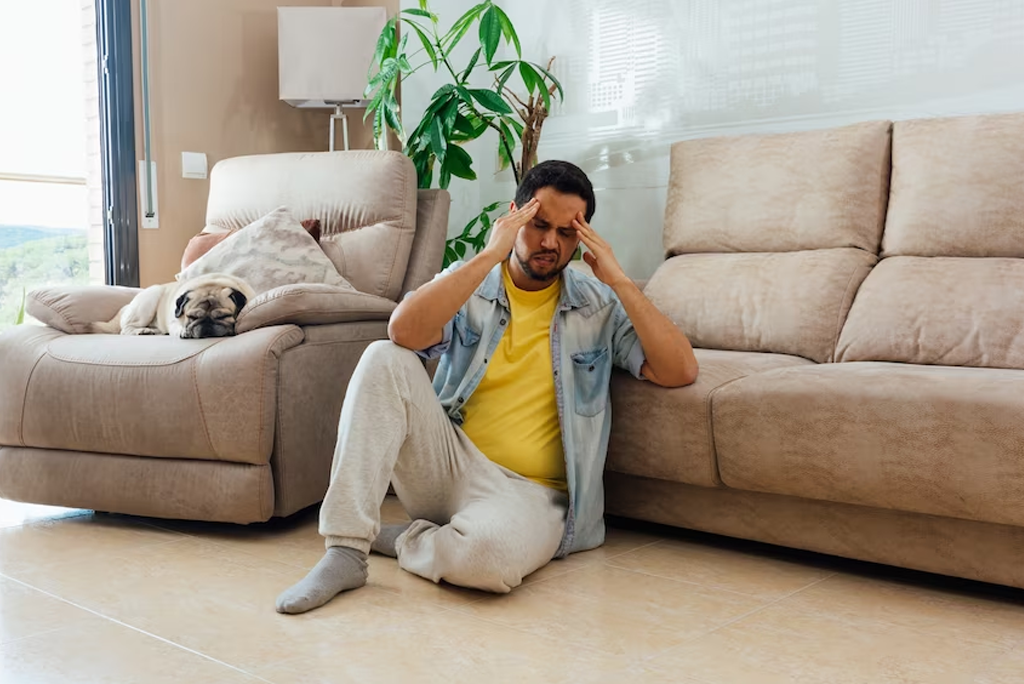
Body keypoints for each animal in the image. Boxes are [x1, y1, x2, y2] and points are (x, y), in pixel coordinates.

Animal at [89, 270, 256, 337]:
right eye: (192, 317)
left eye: (223, 317)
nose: (207, 323)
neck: (212, 283)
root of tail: (127, 307)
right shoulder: (174, 321)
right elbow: (177, 327)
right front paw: (183, 331)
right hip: (148, 301)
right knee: (125, 329)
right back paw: (142, 331)